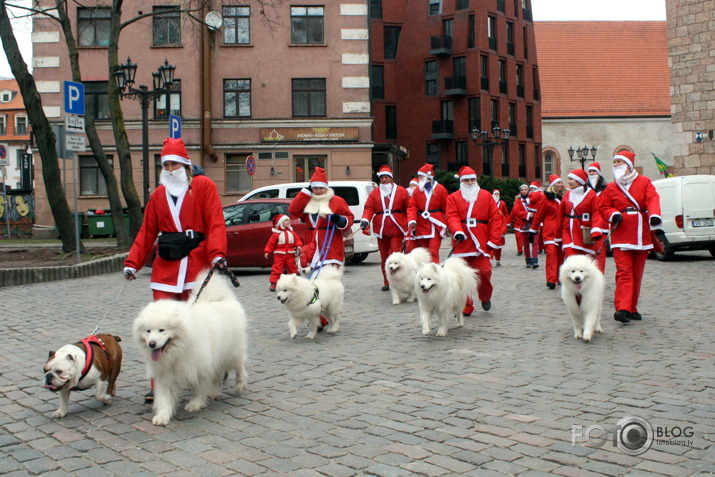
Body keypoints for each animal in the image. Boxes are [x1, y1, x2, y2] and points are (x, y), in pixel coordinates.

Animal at [133, 270, 248, 426]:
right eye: (148, 331)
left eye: (162, 330)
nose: (151, 344)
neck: (177, 351)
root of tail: (220, 299)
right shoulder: (164, 373)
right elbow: (164, 398)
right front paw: (162, 416)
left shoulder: (199, 366)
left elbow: (198, 389)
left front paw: (195, 404)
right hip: (217, 355)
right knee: (219, 374)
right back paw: (214, 392)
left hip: (231, 352)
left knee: (239, 366)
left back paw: (240, 384)